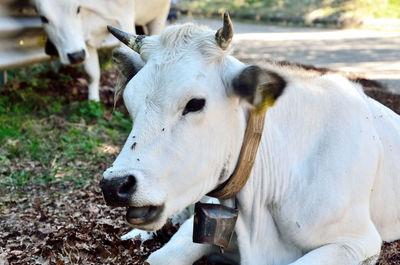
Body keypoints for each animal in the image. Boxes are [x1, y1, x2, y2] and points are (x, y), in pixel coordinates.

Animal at [34, 0, 170, 101]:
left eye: (77, 9)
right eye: (43, 18)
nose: (76, 56)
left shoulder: (124, 20)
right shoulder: (86, 41)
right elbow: (92, 74)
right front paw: (93, 100)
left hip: (160, 14)